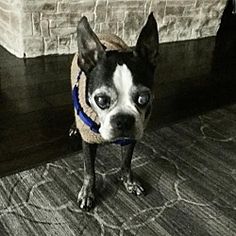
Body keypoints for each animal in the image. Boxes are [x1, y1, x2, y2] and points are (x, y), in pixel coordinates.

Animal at [70, 12, 159, 209]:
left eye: (144, 98)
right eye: (101, 100)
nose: (124, 120)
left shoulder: (131, 137)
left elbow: (126, 162)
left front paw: (129, 182)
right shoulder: (88, 140)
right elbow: (89, 170)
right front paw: (88, 192)